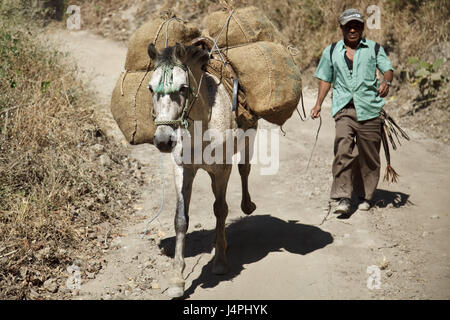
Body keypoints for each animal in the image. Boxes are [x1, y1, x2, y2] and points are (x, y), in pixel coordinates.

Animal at [149, 42, 256, 298]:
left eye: (183, 88)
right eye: (150, 88)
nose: (163, 140)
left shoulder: (222, 170)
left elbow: (221, 210)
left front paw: (220, 262)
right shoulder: (182, 169)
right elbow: (180, 219)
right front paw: (177, 280)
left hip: (249, 137)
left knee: (244, 169)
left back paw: (246, 207)